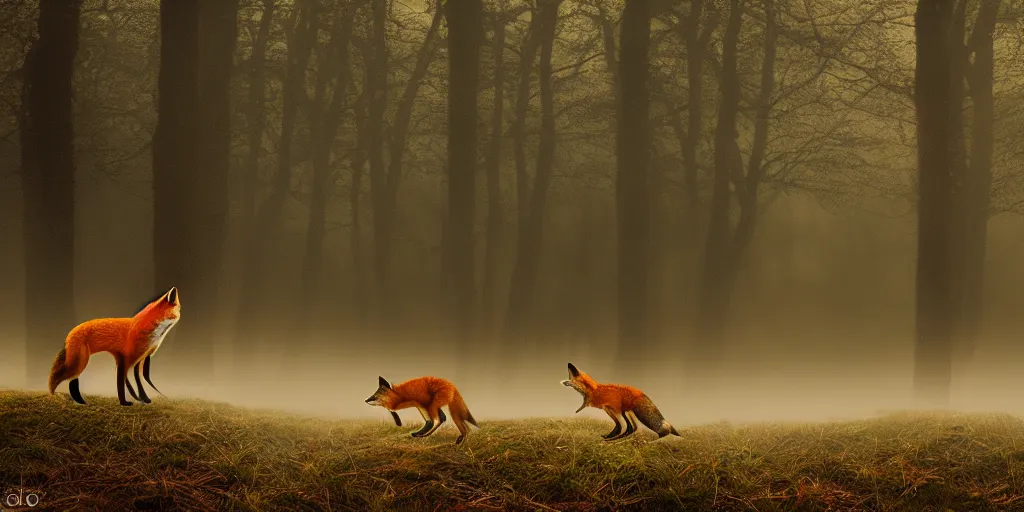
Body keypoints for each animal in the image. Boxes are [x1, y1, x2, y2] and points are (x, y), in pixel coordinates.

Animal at [47, 286, 181, 405]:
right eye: (178, 310)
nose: (180, 316)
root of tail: (70, 334)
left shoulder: (139, 360)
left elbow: (138, 383)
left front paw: (144, 399)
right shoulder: (124, 360)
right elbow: (122, 385)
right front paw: (125, 403)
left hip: (80, 364)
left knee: (73, 382)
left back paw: (81, 401)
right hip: (78, 364)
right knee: (64, 379)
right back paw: (55, 395)